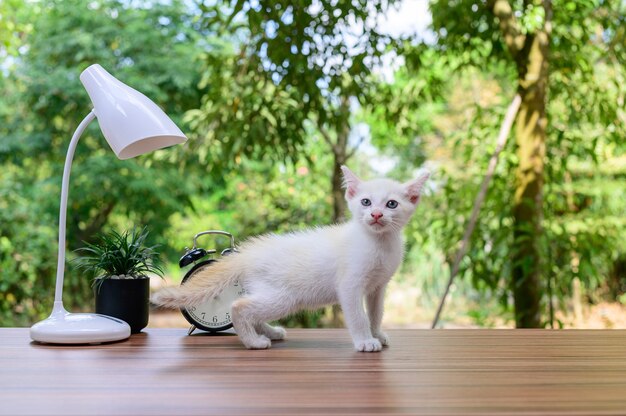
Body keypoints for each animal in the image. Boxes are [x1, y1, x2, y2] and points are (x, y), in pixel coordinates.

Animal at [152, 166, 428, 352]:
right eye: (366, 201)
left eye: (391, 204)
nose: (376, 214)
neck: (379, 243)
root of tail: (248, 253)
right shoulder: (350, 285)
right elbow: (358, 316)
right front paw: (365, 341)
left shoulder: (378, 287)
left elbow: (376, 313)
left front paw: (377, 334)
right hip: (285, 297)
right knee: (238, 306)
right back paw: (254, 342)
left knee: (249, 308)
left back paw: (270, 332)